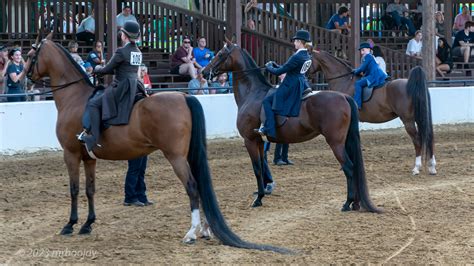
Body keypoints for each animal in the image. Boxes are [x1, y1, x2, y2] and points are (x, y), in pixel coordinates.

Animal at [25, 33, 288, 254]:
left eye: (29, 55)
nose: (27, 79)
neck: (75, 98)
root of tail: (184, 96)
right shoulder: (89, 159)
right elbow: (90, 190)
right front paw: (87, 224)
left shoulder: (70, 154)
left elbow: (74, 189)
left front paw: (69, 225)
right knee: (201, 186)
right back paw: (205, 230)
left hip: (175, 157)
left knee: (193, 187)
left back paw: (191, 233)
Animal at [202, 40, 380, 214]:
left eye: (220, 54)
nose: (204, 73)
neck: (252, 94)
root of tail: (344, 97)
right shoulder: (259, 141)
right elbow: (262, 166)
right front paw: (264, 191)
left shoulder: (250, 140)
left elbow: (257, 169)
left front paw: (258, 199)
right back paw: (355, 203)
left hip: (335, 142)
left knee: (348, 167)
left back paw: (347, 203)